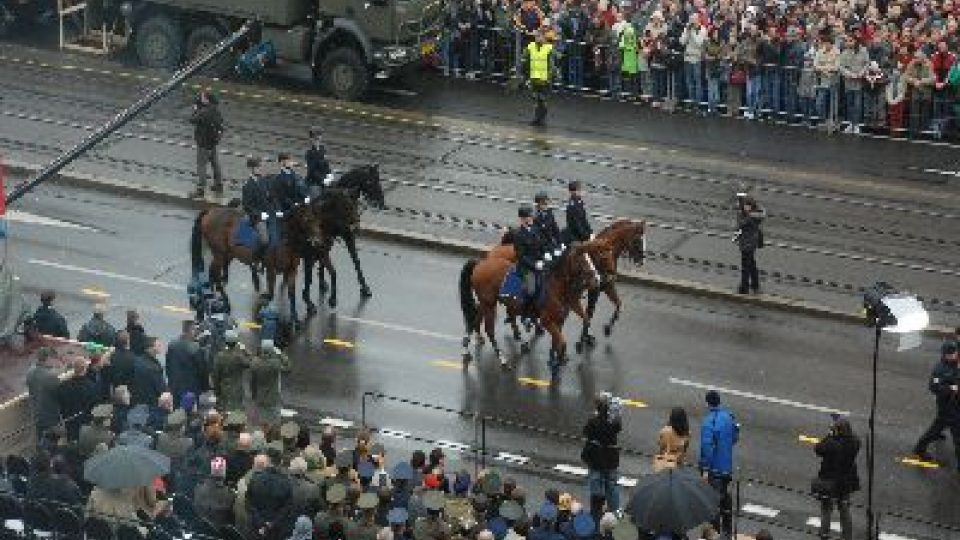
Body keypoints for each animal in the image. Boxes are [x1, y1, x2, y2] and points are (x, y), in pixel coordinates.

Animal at [191, 202, 322, 320]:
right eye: (307, 219)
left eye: (317, 217)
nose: (317, 241)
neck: (286, 241)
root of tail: (211, 211)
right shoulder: (271, 269)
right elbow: (270, 293)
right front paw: (262, 303)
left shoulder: (291, 270)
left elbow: (291, 294)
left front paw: (294, 317)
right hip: (220, 253)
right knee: (216, 274)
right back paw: (225, 301)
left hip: (228, 254)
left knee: (213, 272)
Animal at [460, 240, 612, 380]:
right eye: (582, 260)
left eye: (591, 258)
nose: (598, 280)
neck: (557, 285)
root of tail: (481, 263)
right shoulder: (547, 321)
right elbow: (562, 343)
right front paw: (557, 364)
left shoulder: (560, 319)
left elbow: (560, 339)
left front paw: (555, 359)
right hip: (489, 305)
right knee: (490, 330)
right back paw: (503, 360)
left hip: (485, 304)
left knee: (474, 320)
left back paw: (467, 350)